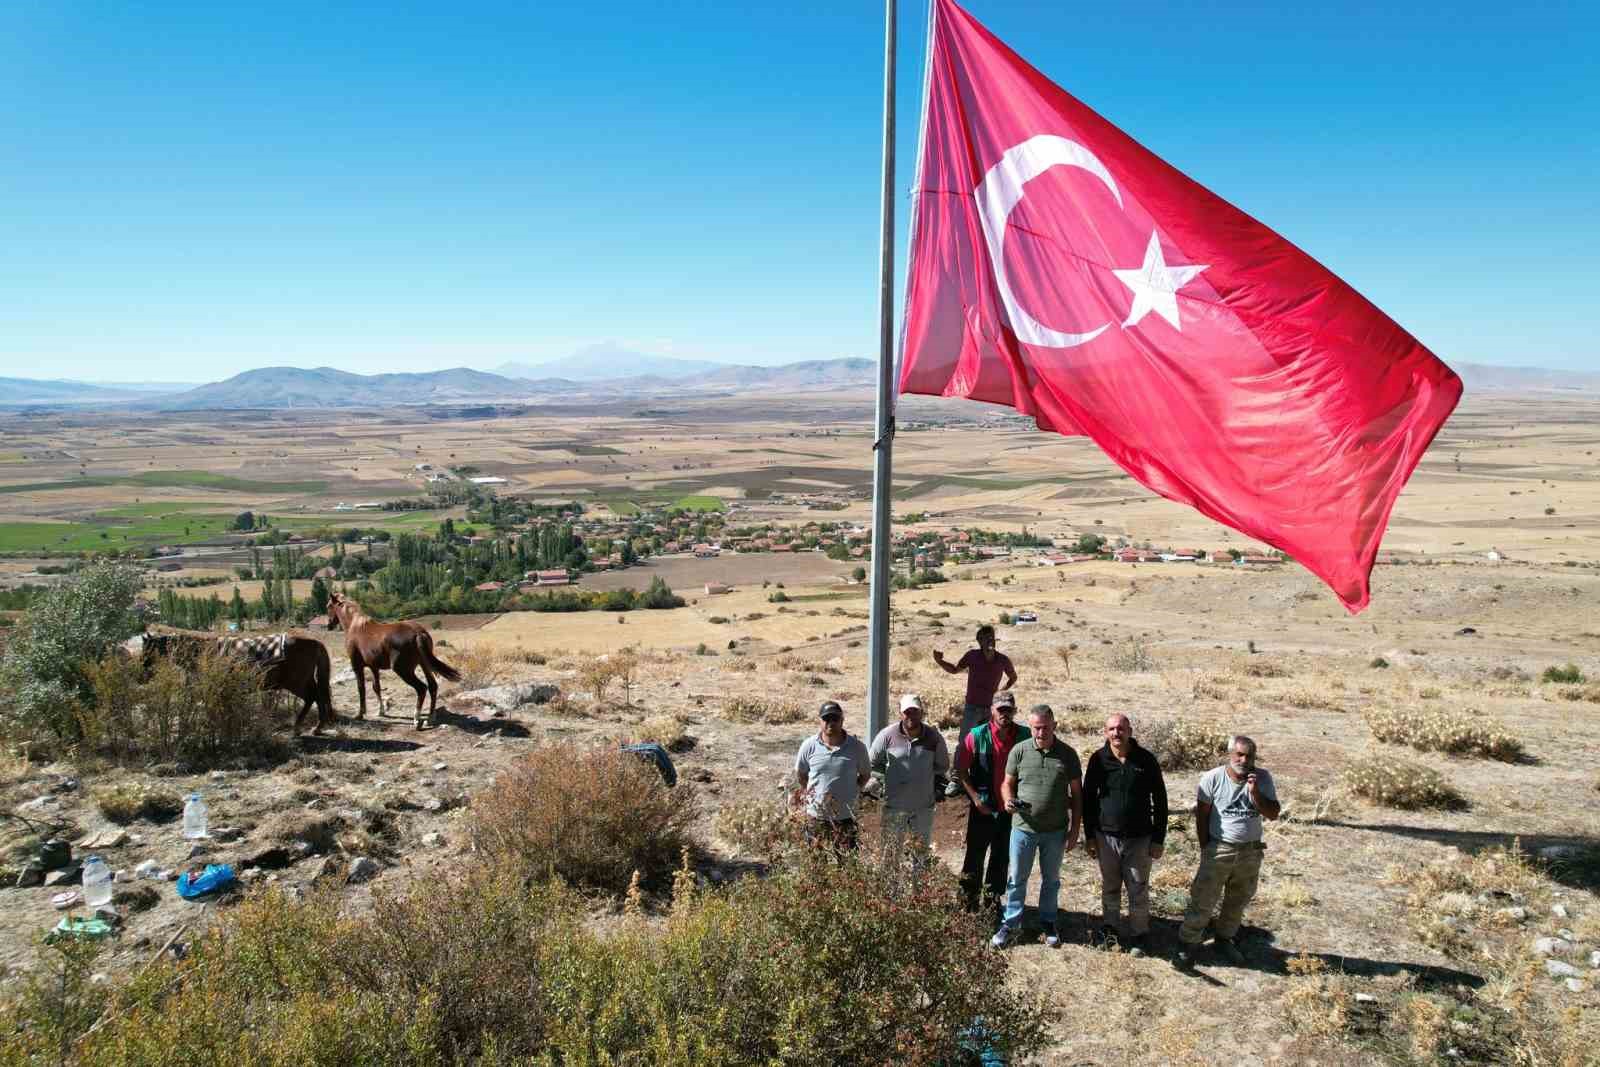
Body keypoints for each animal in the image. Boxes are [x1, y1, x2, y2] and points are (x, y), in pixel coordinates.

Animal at [320, 588, 457, 729]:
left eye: (328, 606)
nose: (329, 625)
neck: (355, 626)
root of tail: (418, 633)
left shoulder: (357, 666)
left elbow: (361, 688)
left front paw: (360, 714)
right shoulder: (374, 667)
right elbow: (376, 687)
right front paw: (381, 711)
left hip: (403, 670)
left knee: (422, 688)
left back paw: (416, 720)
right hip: (424, 665)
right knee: (432, 686)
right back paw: (430, 718)